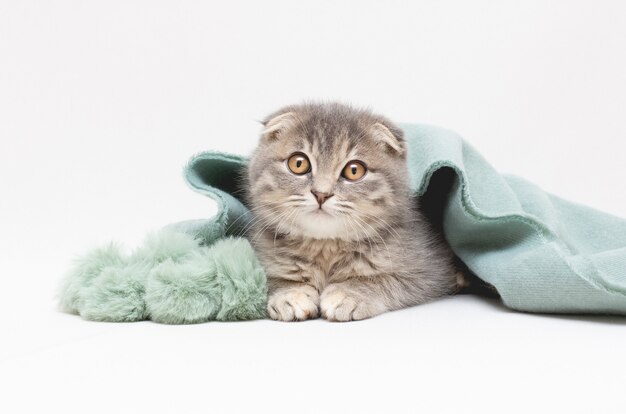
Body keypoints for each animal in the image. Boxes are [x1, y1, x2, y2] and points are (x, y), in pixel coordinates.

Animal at [246, 102, 456, 322]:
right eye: (298, 163)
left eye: (354, 170)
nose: (321, 194)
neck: (325, 248)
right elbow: (270, 279)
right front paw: (290, 294)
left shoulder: (429, 271)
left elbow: (385, 279)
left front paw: (350, 294)